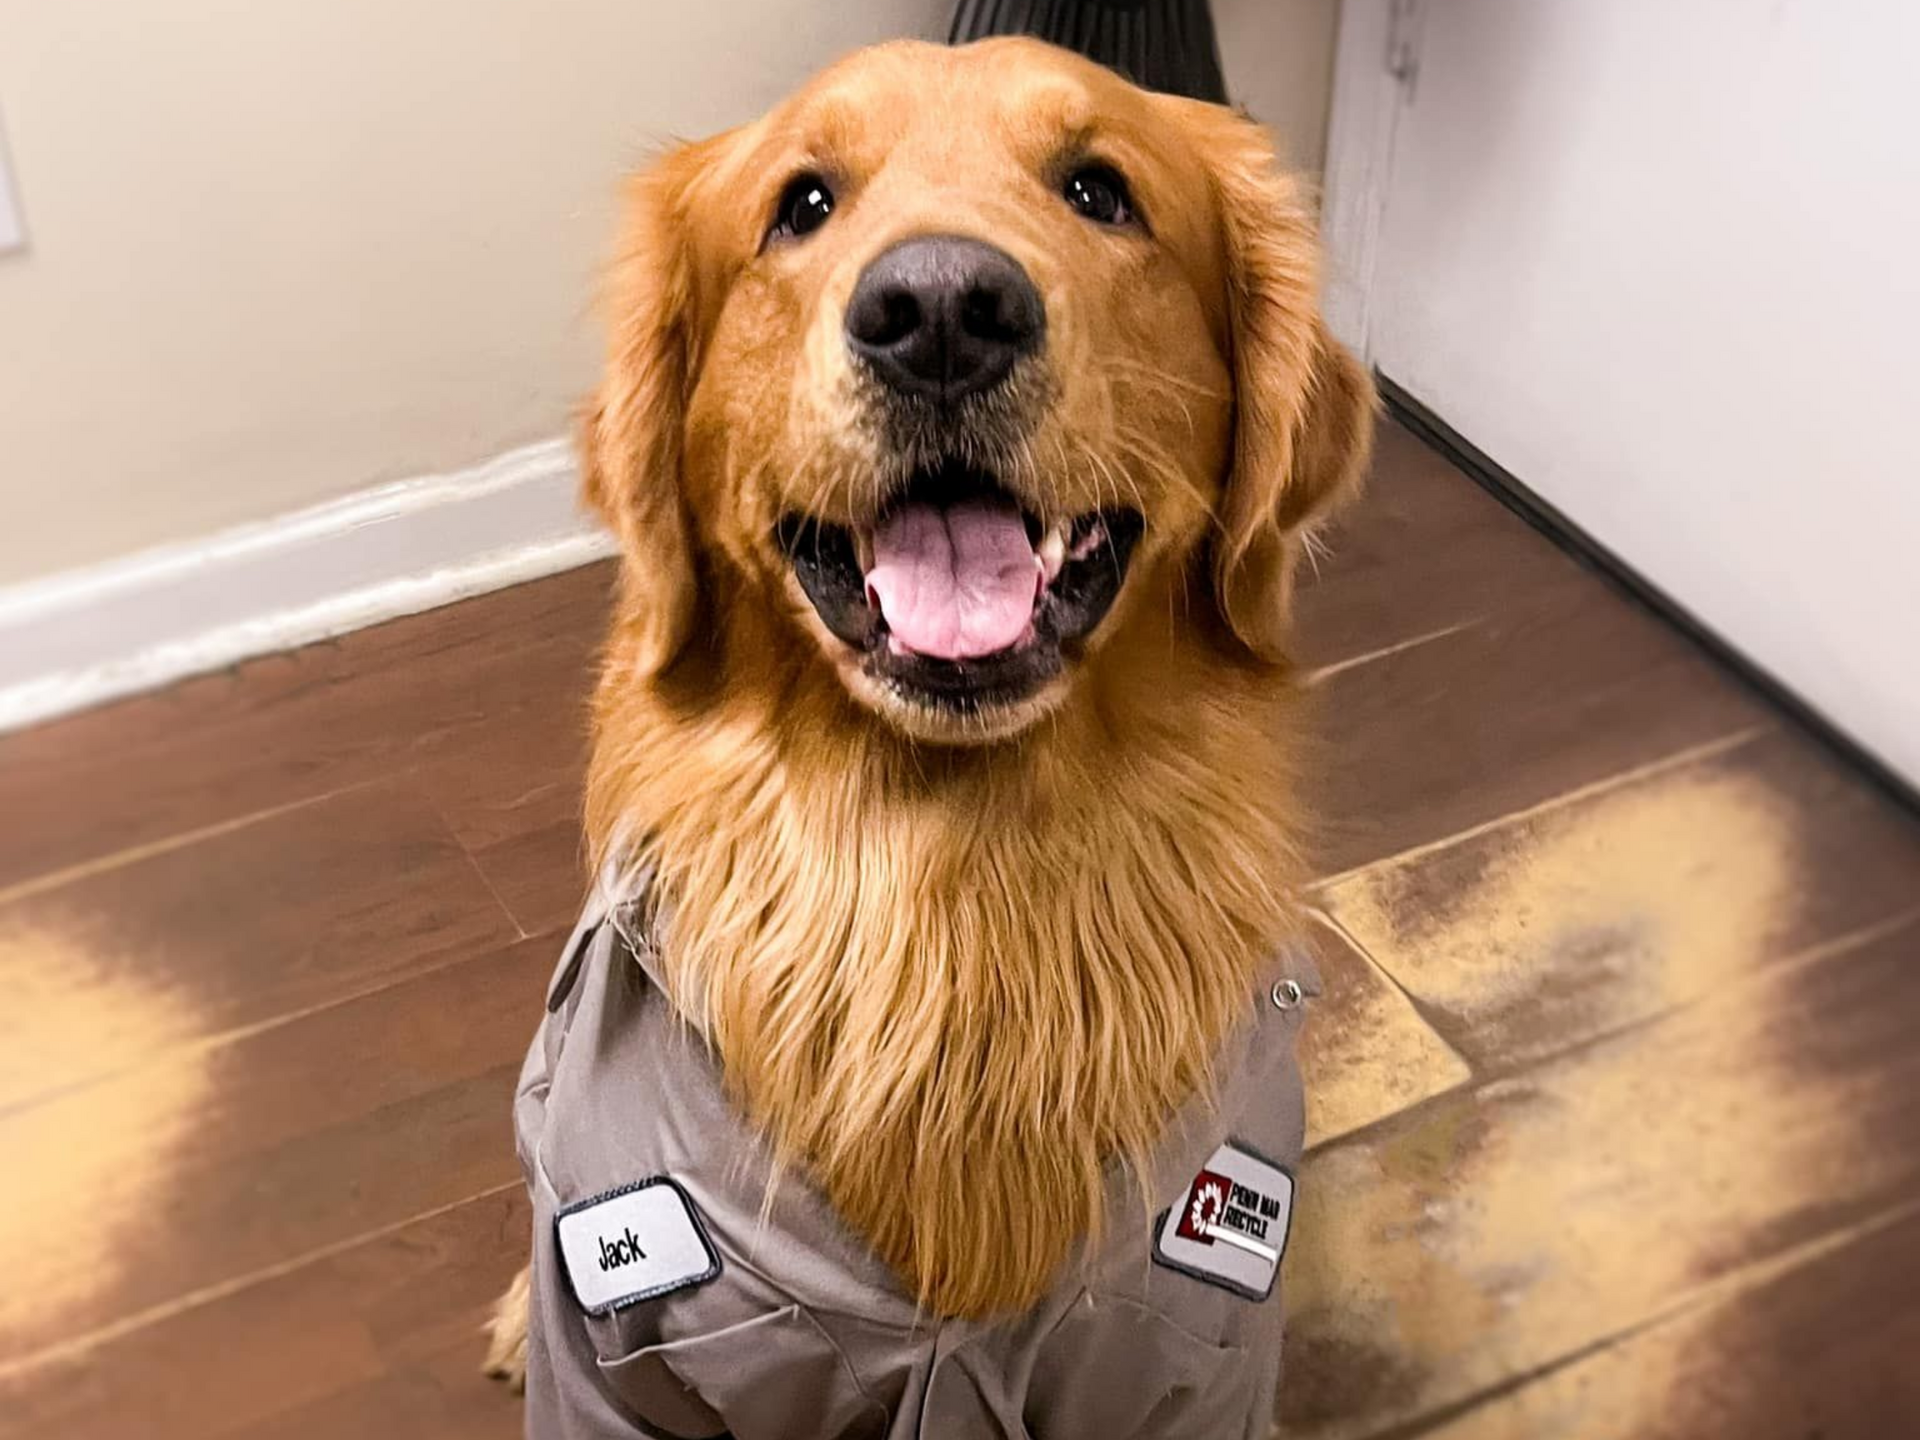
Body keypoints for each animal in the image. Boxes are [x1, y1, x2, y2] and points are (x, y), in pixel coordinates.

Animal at [485, 35, 1373, 1439]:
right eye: (801, 204)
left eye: (1100, 191)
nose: (943, 311)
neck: (953, 878)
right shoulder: (625, 1345)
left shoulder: (1192, 1345)